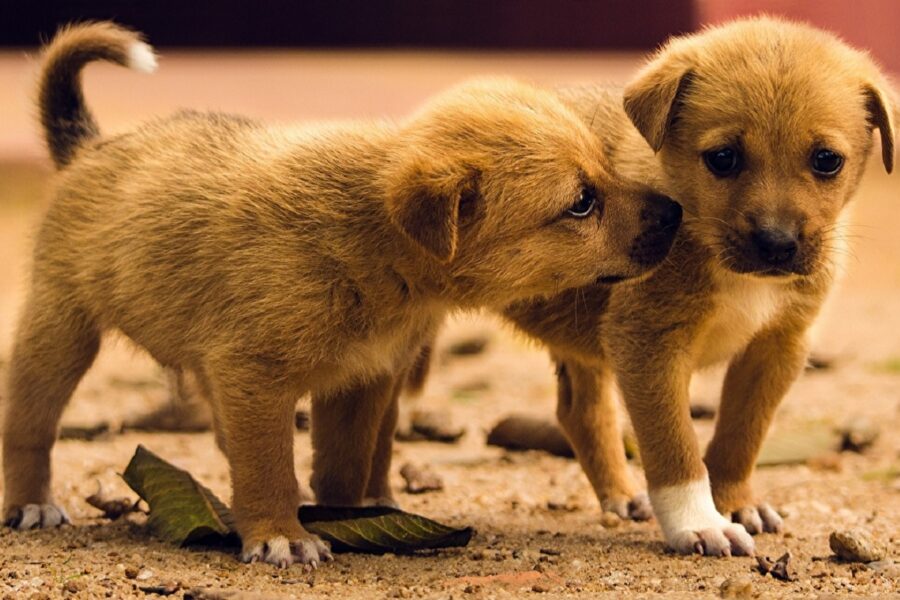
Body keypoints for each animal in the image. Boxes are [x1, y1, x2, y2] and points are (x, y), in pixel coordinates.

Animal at [0, 22, 680, 568]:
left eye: (605, 168)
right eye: (581, 202)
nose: (676, 212)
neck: (371, 238)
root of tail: (90, 147)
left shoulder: (360, 380)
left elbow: (342, 466)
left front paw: (345, 517)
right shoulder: (255, 376)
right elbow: (269, 463)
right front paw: (280, 534)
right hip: (60, 328)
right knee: (30, 423)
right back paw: (32, 502)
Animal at [336, 14, 892, 556]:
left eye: (826, 160)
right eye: (723, 158)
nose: (776, 244)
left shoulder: (777, 347)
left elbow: (742, 433)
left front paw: (734, 503)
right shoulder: (648, 344)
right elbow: (675, 446)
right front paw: (697, 523)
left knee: (579, 412)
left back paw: (621, 496)